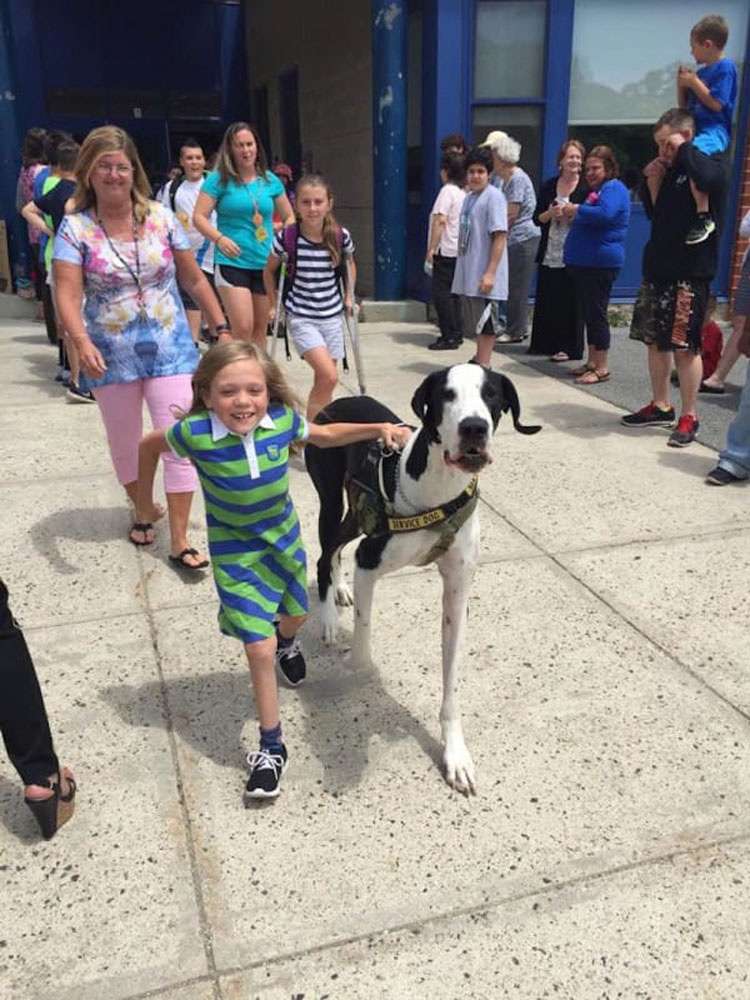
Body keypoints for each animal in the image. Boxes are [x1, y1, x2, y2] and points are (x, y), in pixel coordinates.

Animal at [306, 364, 540, 792]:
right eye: (446, 394)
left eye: (492, 395)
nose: (474, 428)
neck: (438, 489)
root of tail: (338, 403)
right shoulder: (370, 561)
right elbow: (363, 643)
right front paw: (357, 668)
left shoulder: (457, 593)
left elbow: (452, 685)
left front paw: (455, 755)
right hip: (331, 500)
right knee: (322, 554)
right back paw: (329, 616)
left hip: (356, 511)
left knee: (335, 551)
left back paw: (340, 590)